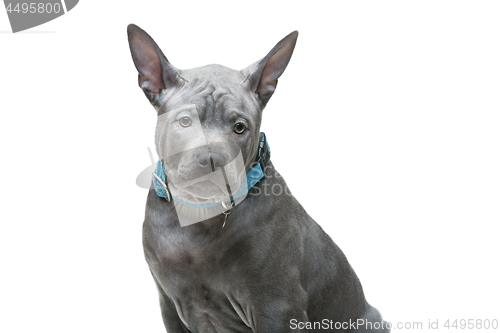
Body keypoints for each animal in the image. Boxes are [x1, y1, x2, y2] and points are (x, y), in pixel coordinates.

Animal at [127, 24, 388, 332]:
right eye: (185, 122)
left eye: (240, 127)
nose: (211, 159)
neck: (201, 214)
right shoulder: (169, 305)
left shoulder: (277, 308)